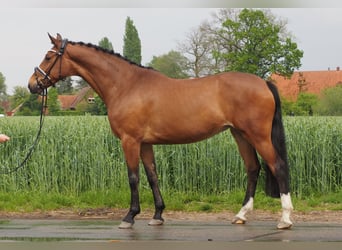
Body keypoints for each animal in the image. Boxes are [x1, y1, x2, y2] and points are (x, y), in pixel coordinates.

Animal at [28, 33, 292, 229]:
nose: (32, 84)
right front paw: (157, 215)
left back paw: (285, 219)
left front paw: (129, 216)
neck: (126, 85)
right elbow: (152, 175)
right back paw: (241, 215)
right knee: (253, 168)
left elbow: (133, 177)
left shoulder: (130, 141)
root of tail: (263, 83)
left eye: (48, 56)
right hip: (240, 134)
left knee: (277, 166)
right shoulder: (145, 143)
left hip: (257, 135)